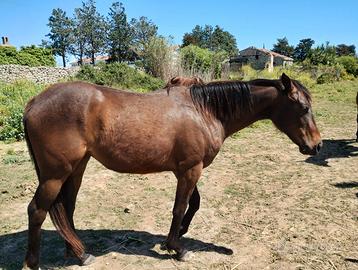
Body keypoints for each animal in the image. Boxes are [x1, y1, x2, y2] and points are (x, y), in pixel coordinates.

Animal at [23, 72, 324, 268]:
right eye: (303, 107)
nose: (317, 145)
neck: (205, 111)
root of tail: (34, 101)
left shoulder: (189, 168)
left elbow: (194, 203)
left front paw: (179, 233)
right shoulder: (191, 169)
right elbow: (180, 206)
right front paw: (177, 248)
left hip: (76, 168)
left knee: (66, 207)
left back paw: (78, 253)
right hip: (55, 174)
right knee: (37, 211)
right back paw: (35, 262)